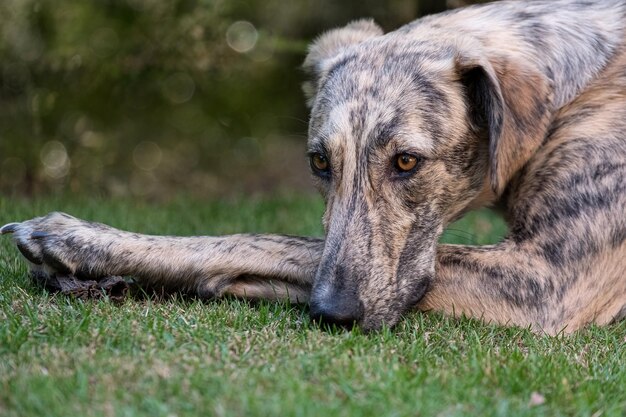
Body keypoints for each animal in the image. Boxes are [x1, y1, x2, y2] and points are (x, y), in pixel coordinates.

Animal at [1, 0, 624, 332]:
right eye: (320, 162)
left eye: (407, 161)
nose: (333, 313)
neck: (574, 84)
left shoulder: (547, 278)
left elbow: (267, 242)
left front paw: (79, 240)